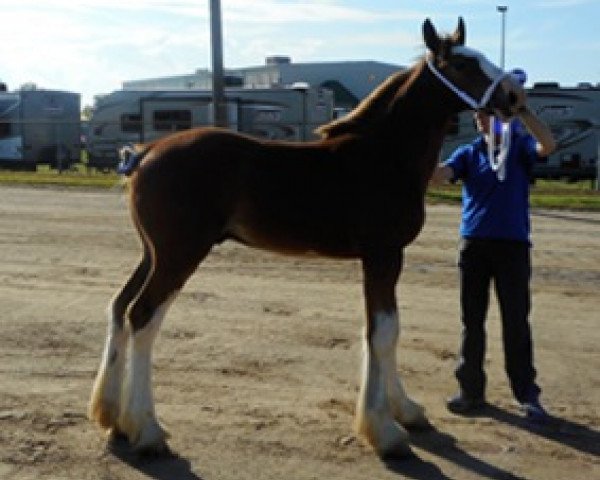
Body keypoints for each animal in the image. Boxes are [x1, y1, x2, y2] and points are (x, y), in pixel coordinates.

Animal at [88, 16, 524, 458]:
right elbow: (384, 332)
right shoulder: (383, 255)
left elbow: (378, 329)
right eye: (463, 65)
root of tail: (146, 151)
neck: (384, 155)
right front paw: (385, 431)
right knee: (142, 316)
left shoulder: (382, 259)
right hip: (179, 255)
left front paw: (406, 411)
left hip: (152, 253)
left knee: (119, 307)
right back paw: (147, 429)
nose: (513, 95)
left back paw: (113, 419)